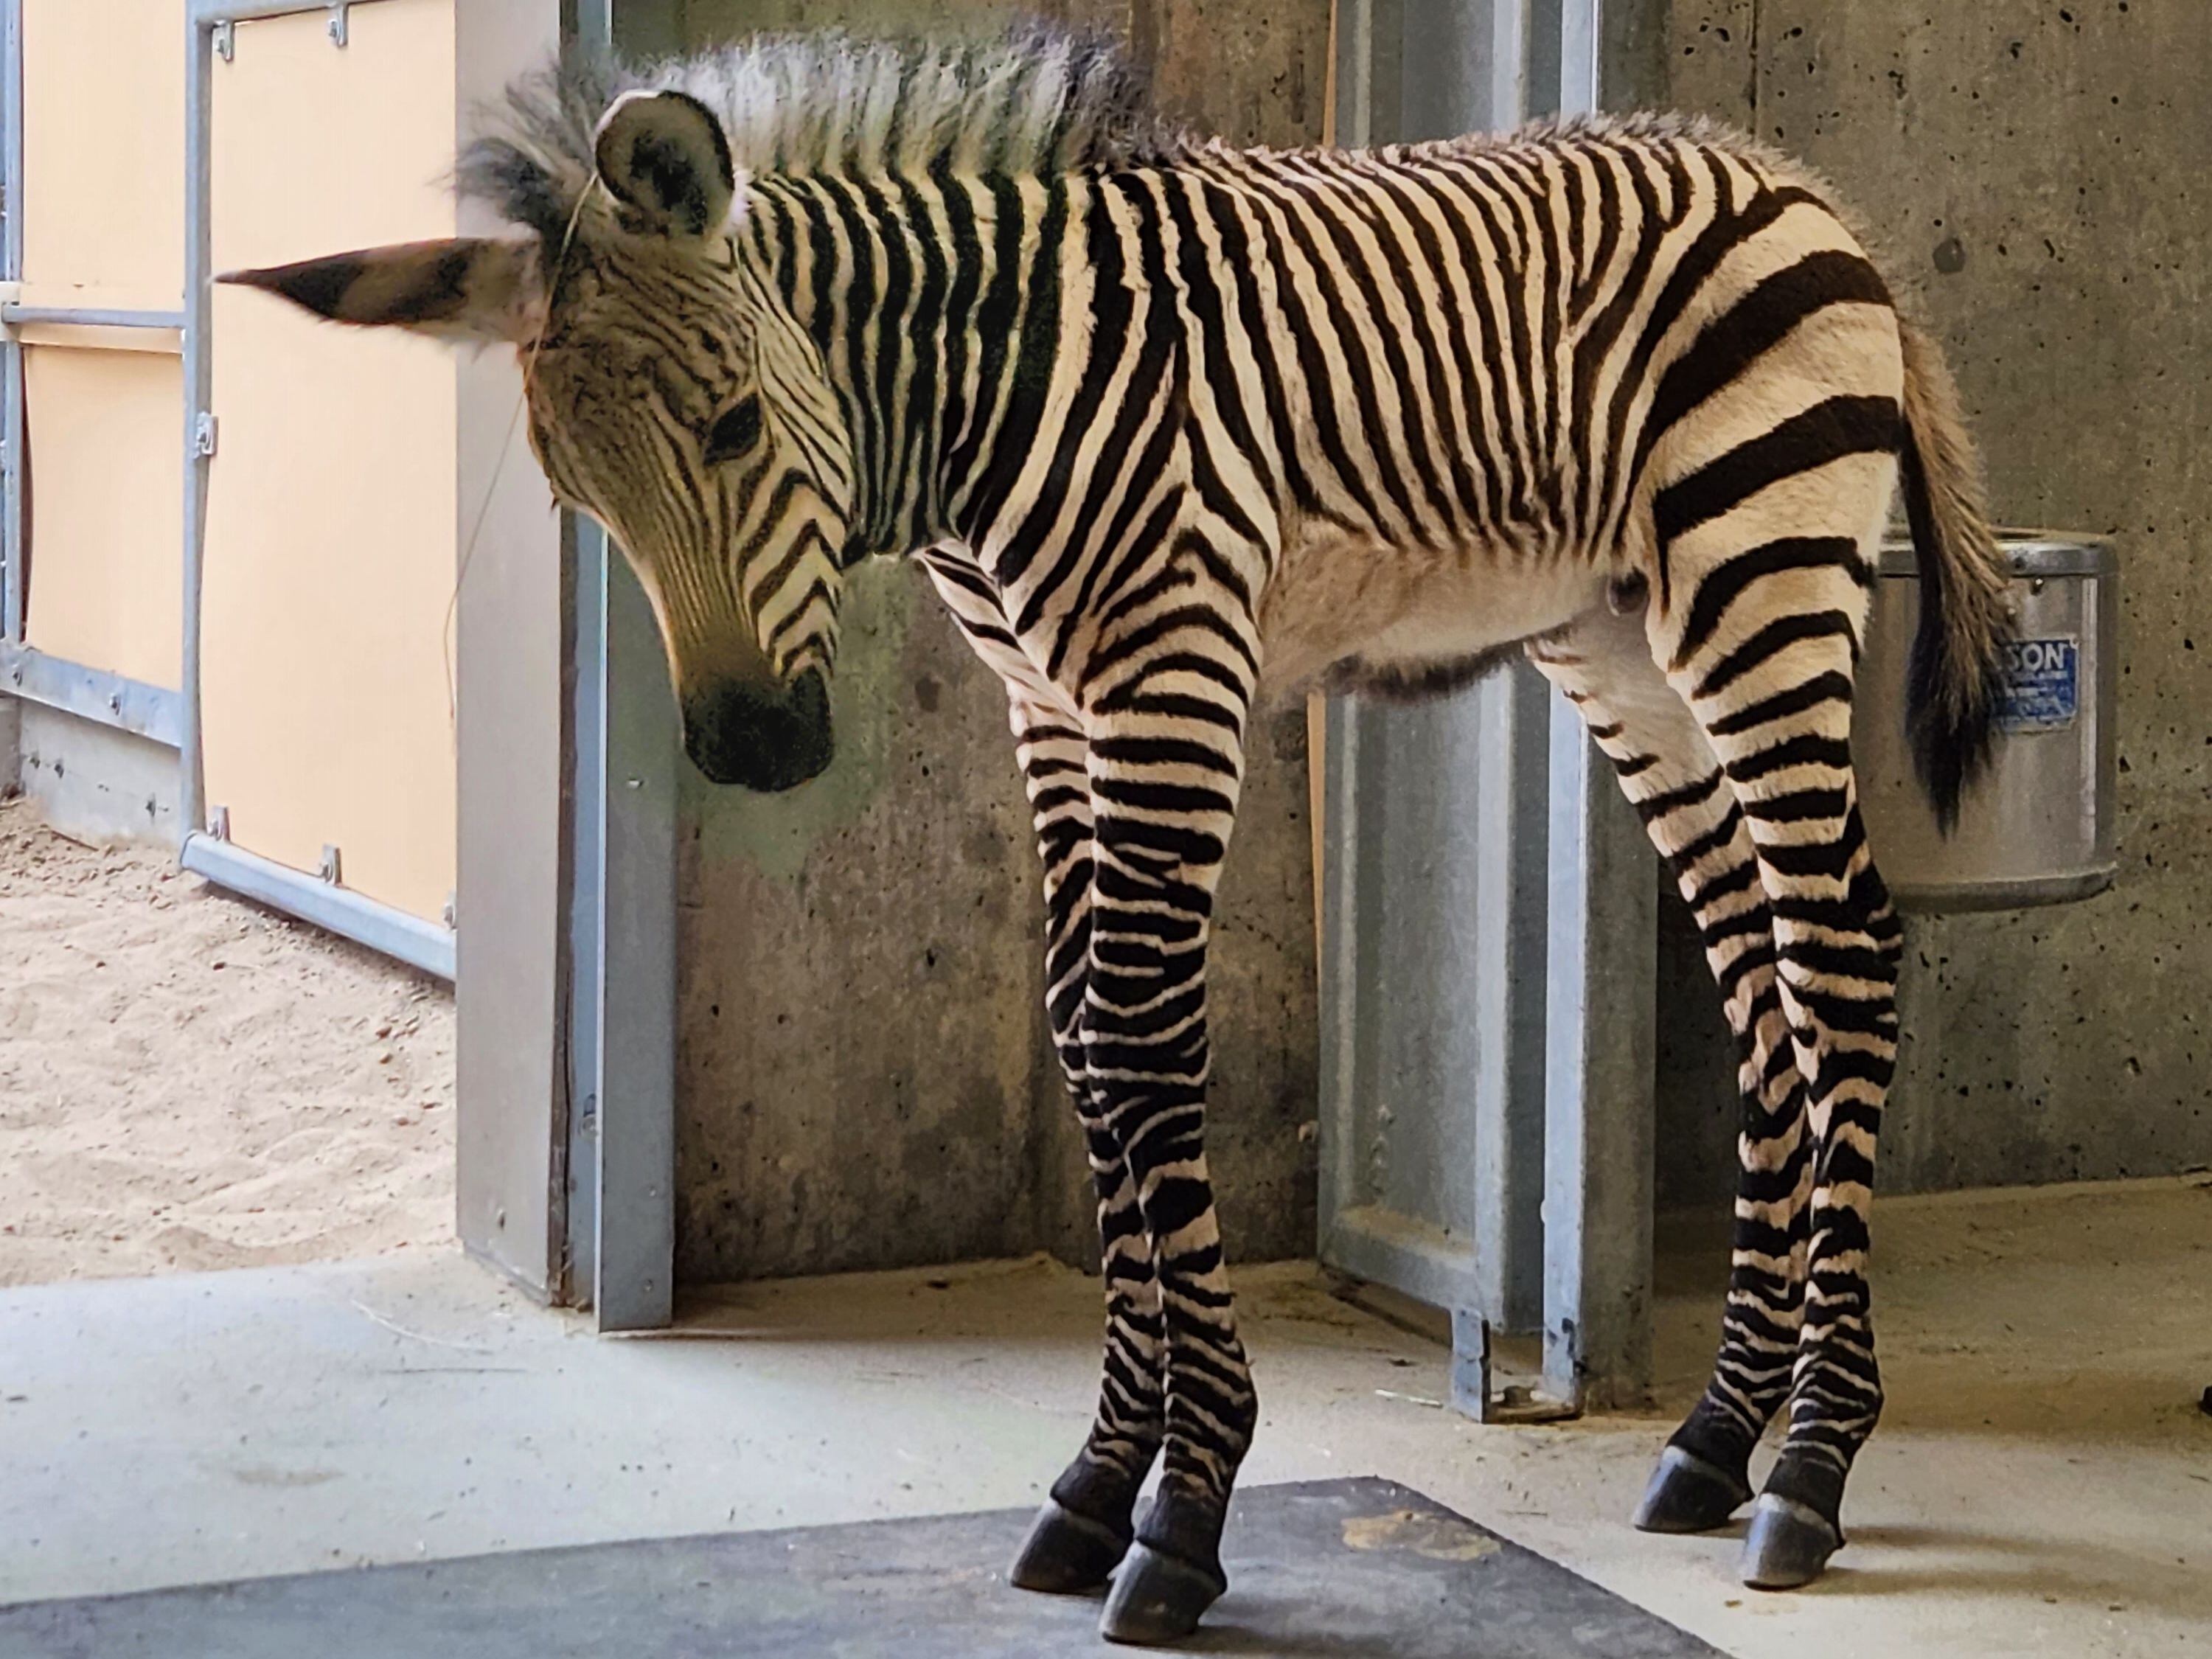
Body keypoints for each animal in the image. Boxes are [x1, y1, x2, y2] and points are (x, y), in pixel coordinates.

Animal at [229, 26, 2026, 1655]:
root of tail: (1790, 183)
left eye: (736, 427)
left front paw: (1183, 1507)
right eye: (573, 496)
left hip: (1756, 582)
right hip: (1625, 644)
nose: (754, 754)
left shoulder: (1170, 674)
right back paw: (1719, 1441)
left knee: (1842, 958)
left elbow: (1143, 1040)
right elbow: (1086, 1047)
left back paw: (1812, 1469)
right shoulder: (1052, 708)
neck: (980, 399)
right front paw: (1101, 1480)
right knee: (1765, 981)